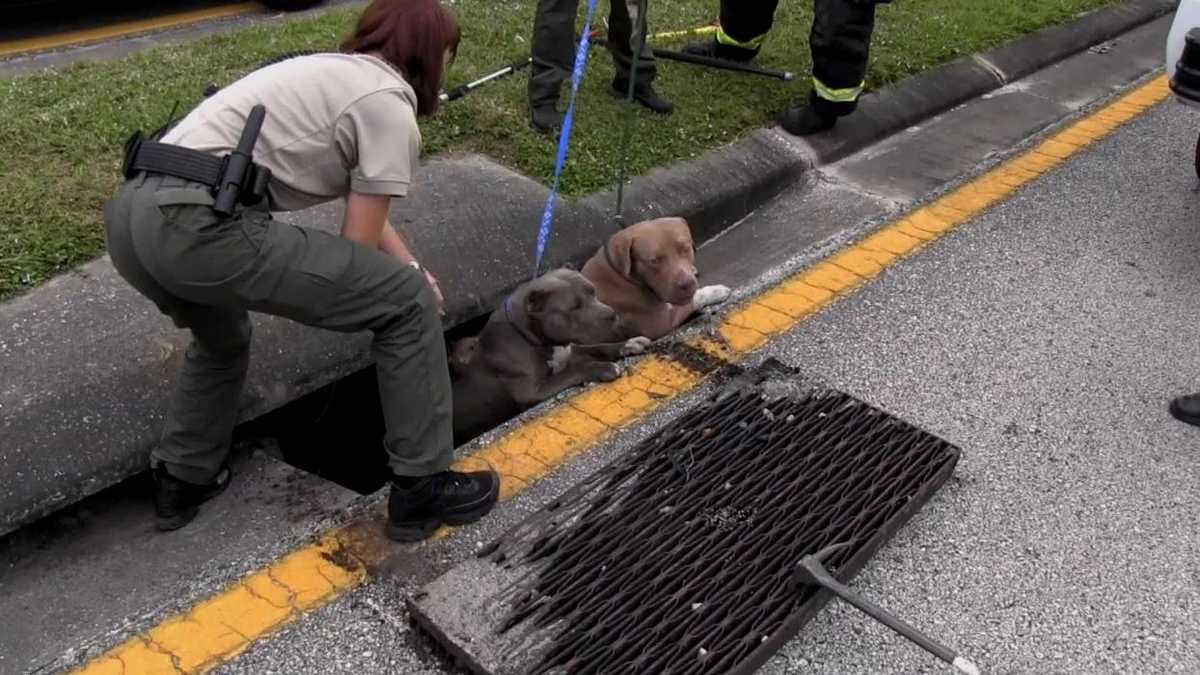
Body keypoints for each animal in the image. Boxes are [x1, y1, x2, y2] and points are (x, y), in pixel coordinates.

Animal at [451, 267, 652, 446]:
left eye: (593, 291)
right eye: (574, 307)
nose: (611, 314)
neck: (529, 335)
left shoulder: (571, 351)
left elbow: (599, 348)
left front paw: (628, 344)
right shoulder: (532, 392)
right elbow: (573, 370)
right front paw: (603, 367)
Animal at [580, 218, 729, 338]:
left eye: (685, 249)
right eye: (654, 261)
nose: (687, 284)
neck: (618, 270)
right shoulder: (661, 323)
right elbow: (695, 299)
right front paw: (716, 291)